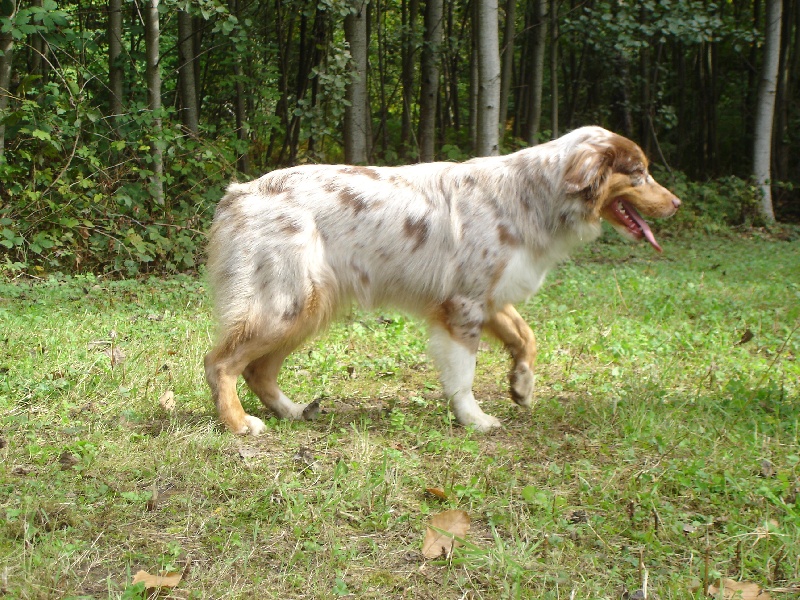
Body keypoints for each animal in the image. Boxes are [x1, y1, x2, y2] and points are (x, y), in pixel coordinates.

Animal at [206, 127, 680, 436]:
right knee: (221, 363)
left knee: (259, 370)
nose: (676, 203)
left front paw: (522, 385)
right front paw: (475, 420)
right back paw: (239, 424)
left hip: (307, 307)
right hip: (286, 304)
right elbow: (463, 376)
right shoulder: (462, 307)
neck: (531, 196)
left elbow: (526, 336)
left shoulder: (488, 297)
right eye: (639, 173)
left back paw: (291, 411)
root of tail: (238, 193)